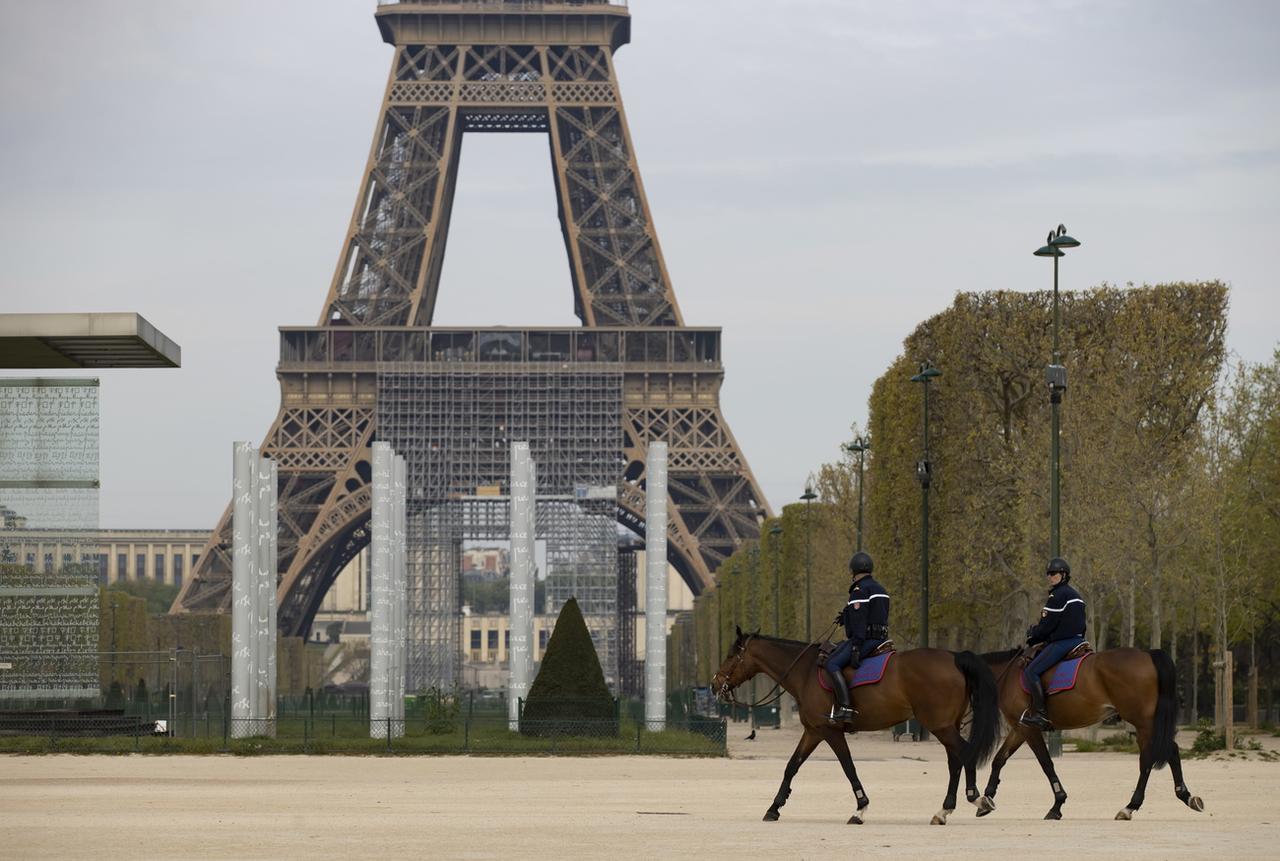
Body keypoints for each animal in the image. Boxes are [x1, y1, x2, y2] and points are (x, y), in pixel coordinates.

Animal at [711, 626, 998, 823]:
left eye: (731, 655)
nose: (715, 685)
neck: (805, 672)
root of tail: (954, 657)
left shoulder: (830, 732)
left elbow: (848, 767)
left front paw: (860, 807)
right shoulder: (813, 732)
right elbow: (792, 766)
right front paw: (774, 808)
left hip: (940, 726)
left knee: (964, 753)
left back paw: (975, 798)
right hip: (947, 725)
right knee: (955, 759)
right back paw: (946, 809)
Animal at [972, 644, 1203, 818]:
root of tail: (1147, 654)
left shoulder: (1029, 728)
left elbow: (1046, 763)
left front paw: (1057, 805)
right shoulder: (1020, 728)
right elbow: (999, 760)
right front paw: (986, 800)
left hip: (1143, 723)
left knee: (1147, 760)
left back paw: (1130, 806)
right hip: (1148, 724)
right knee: (1171, 750)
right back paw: (1187, 796)